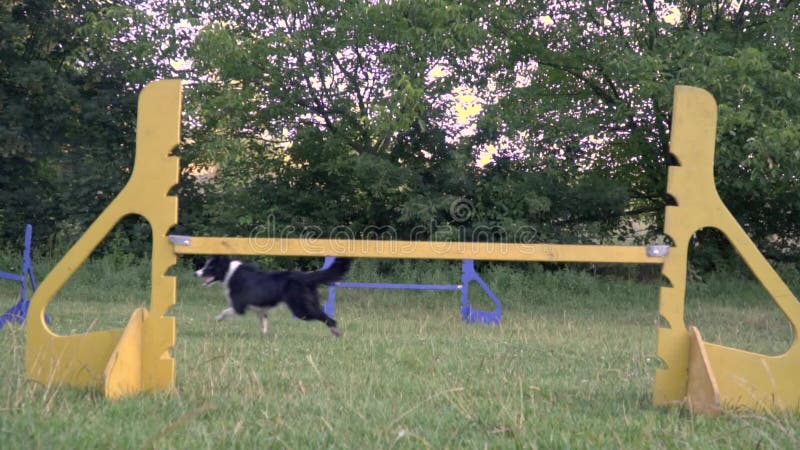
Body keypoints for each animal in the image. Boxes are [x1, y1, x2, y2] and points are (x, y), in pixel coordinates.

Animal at [195, 256, 350, 338]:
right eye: (205, 265)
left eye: (210, 267)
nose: (195, 273)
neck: (229, 272)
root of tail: (305, 277)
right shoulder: (261, 310)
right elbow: (263, 324)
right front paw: (263, 337)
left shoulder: (239, 306)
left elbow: (225, 311)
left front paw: (218, 319)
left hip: (301, 310)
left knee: (329, 319)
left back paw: (336, 333)